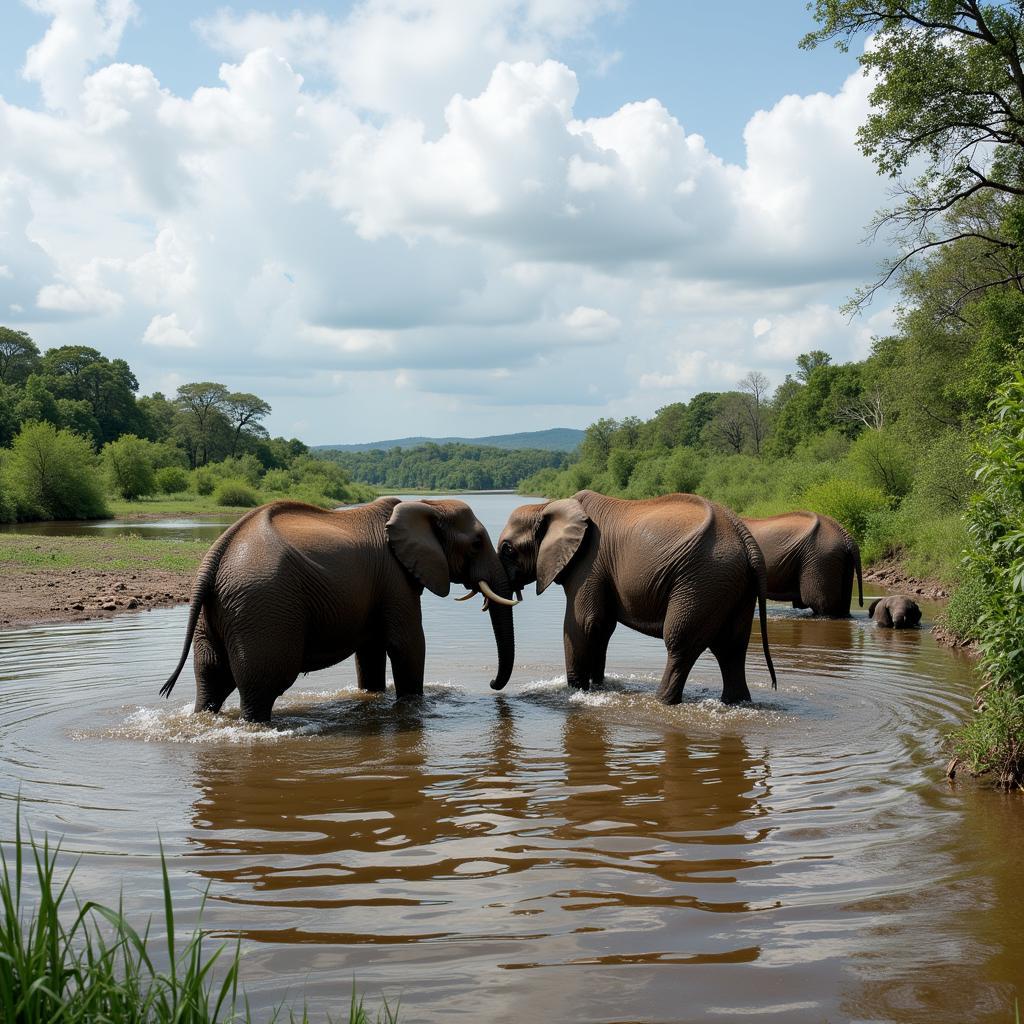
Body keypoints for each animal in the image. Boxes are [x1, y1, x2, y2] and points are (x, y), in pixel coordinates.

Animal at [160, 493, 520, 720]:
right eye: (476, 544)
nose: (491, 685)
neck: (427, 505)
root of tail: (217, 552)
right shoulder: (394, 577)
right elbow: (407, 645)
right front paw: (413, 707)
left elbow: (371, 651)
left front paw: (374, 699)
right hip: (262, 607)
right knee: (263, 685)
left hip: (221, 611)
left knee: (211, 679)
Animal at [495, 487, 774, 704]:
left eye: (508, 549)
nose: (493, 685)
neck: (548, 505)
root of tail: (746, 540)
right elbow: (601, 627)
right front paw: (597, 687)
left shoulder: (589, 563)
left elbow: (583, 624)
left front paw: (575, 692)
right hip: (733, 587)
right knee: (731, 648)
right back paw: (735, 702)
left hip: (702, 581)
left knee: (680, 642)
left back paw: (662, 701)